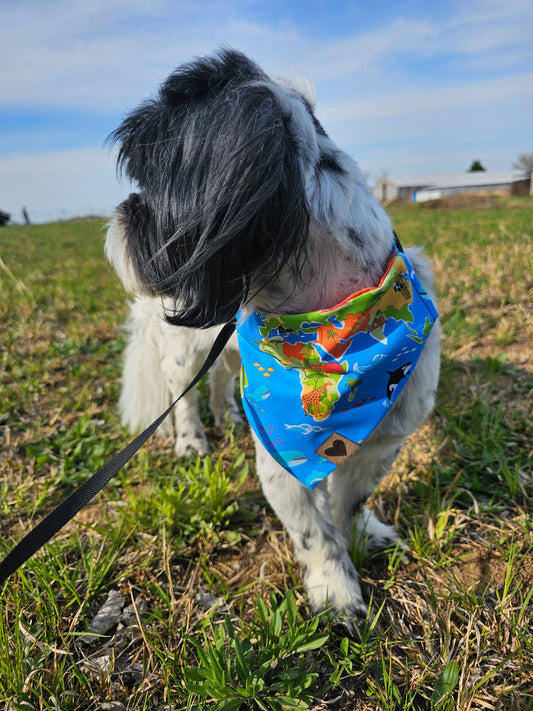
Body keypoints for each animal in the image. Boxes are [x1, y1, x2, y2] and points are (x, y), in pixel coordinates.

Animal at [105, 48, 440, 636]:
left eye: (153, 191)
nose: (124, 211)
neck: (335, 332)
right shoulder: (282, 461)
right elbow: (314, 533)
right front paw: (337, 593)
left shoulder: (384, 440)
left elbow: (350, 500)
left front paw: (363, 532)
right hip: (182, 349)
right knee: (183, 393)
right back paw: (192, 441)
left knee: (219, 378)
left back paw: (227, 415)